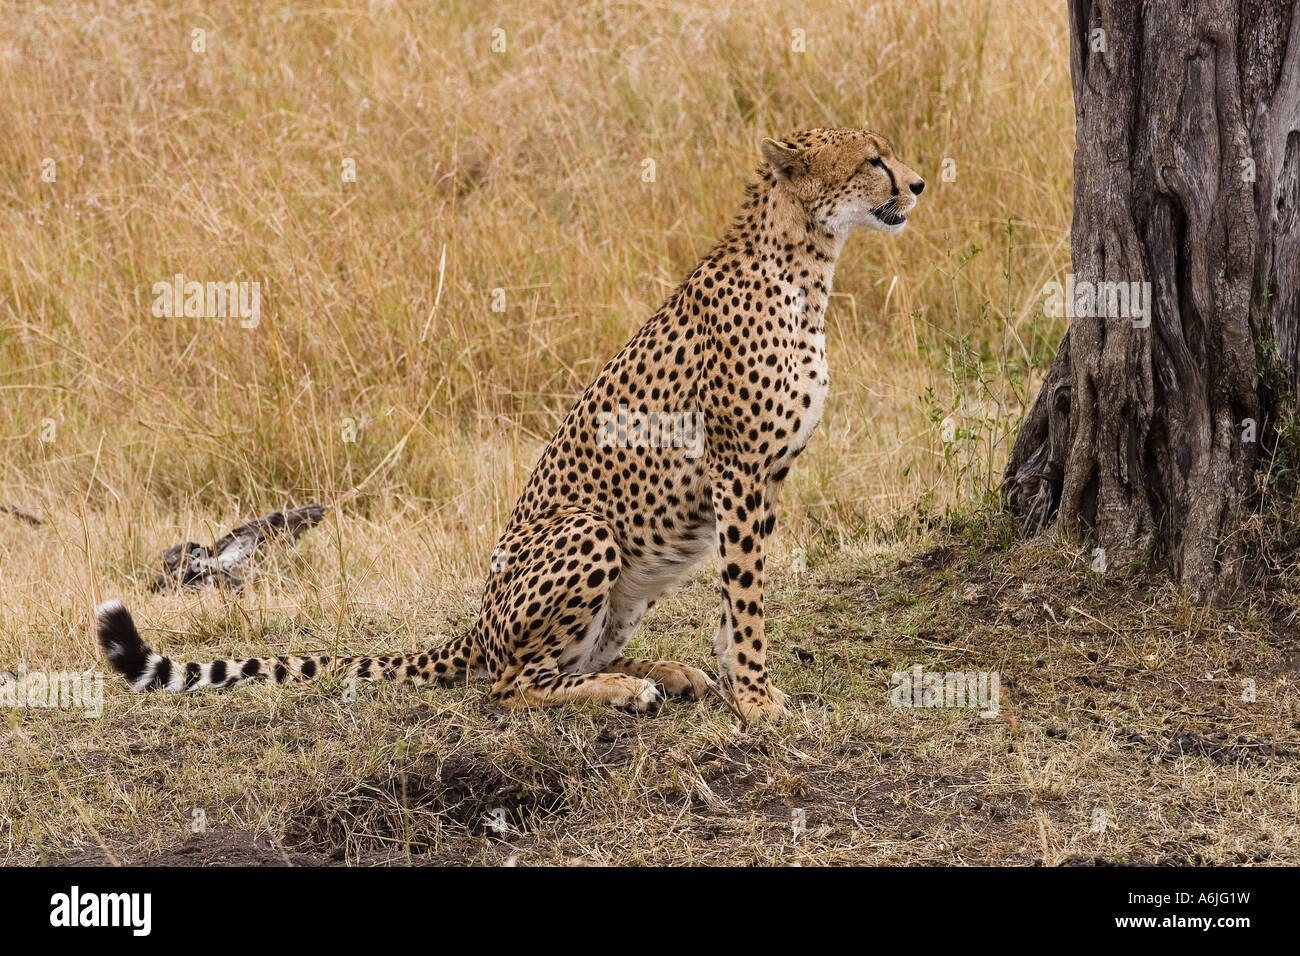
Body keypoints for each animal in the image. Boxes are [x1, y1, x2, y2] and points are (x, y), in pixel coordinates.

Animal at [96, 126, 925, 723]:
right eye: (873, 159)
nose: (918, 183)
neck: (805, 265)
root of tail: (478, 618)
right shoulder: (740, 468)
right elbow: (746, 593)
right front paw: (754, 697)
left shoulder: (766, 473)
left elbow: (734, 597)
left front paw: (735, 679)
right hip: (587, 528)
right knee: (509, 682)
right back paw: (625, 691)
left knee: (567, 660)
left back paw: (662, 673)